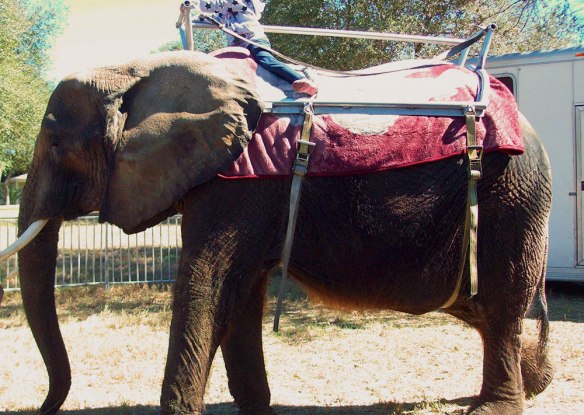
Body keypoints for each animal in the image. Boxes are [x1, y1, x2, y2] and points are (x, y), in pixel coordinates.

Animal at [3, 50, 553, 415]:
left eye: (56, 144)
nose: (41, 408)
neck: (139, 68)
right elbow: (238, 295)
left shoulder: (235, 185)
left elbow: (207, 288)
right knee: (477, 303)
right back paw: (529, 381)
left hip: (512, 192)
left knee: (501, 304)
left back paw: (494, 407)